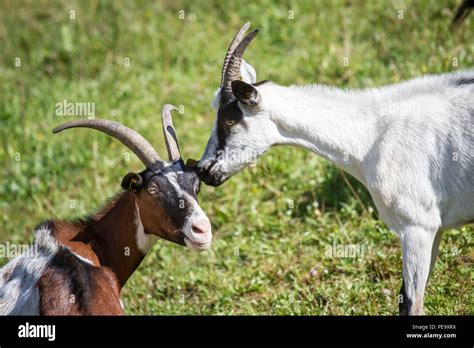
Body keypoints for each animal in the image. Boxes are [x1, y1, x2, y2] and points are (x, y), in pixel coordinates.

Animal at [197, 21, 474, 316]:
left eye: (229, 120)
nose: (202, 169)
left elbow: (411, 303)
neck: (373, 135)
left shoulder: (418, 225)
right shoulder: (435, 229)